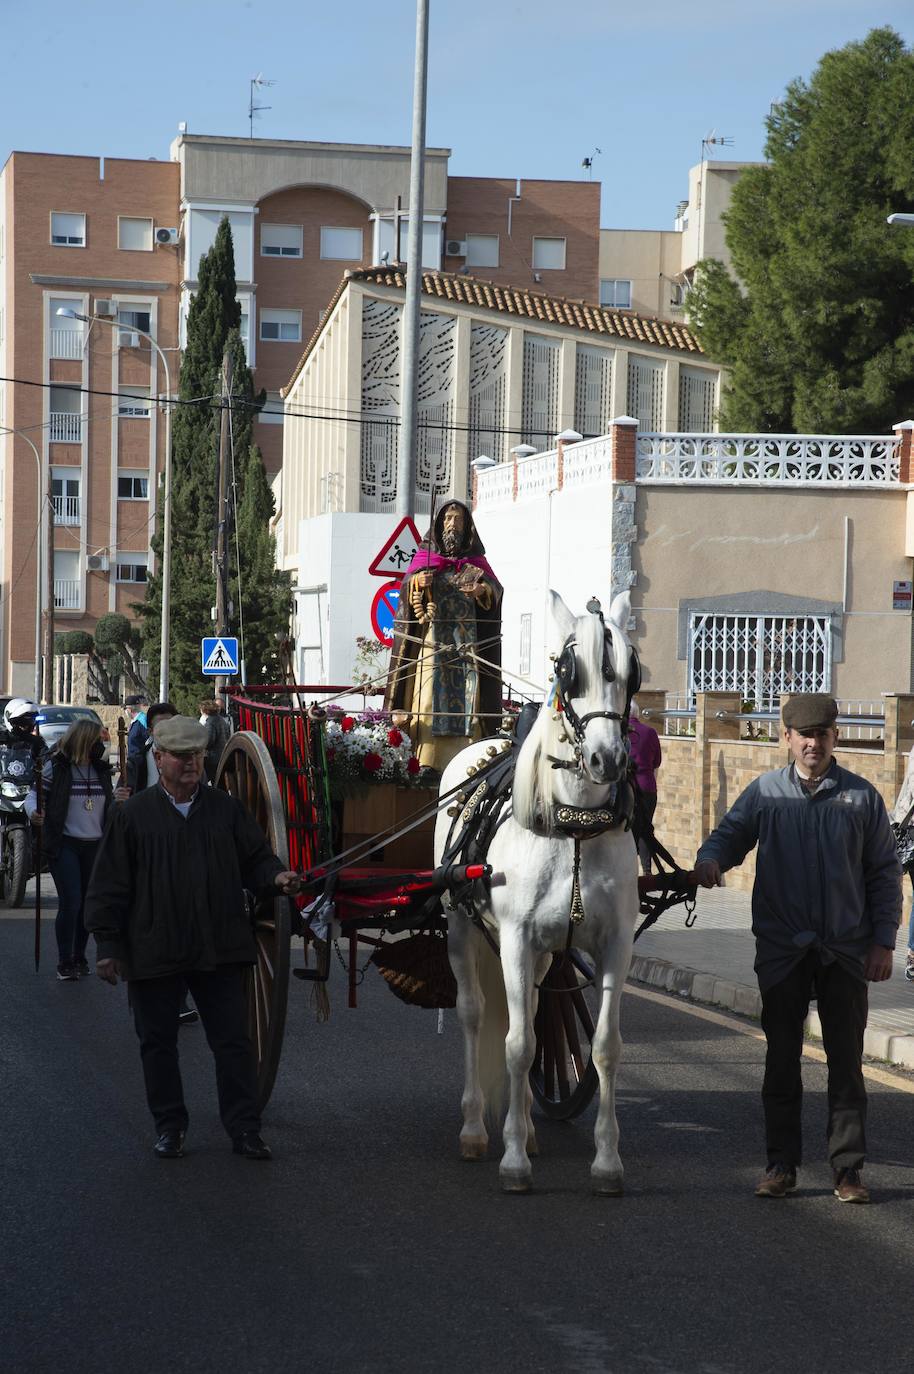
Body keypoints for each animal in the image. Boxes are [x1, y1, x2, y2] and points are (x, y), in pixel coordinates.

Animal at [437, 590, 637, 1192]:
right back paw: (477, 1129)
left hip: (548, 955)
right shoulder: (516, 940)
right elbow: (518, 1044)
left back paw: (523, 1127)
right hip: (463, 930)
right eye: (569, 671)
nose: (607, 759)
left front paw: (606, 1161)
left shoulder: (614, 945)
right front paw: (512, 1164)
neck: (574, 828)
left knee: (526, 1012)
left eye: (632, 672)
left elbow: (604, 1047)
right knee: (475, 1015)